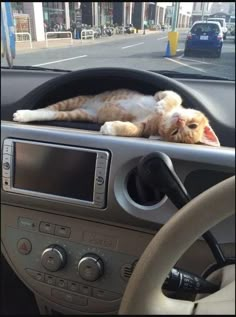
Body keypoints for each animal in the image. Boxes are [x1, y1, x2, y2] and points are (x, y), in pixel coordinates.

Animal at [12, 88, 219, 146]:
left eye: (175, 132)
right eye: (193, 125)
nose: (180, 120)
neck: (161, 118)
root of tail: (90, 105)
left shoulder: (142, 127)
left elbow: (131, 129)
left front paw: (110, 127)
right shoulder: (160, 93)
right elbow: (173, 97)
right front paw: (162, 106)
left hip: (79, 113)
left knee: (52, 112)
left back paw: (25, 115)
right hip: (76, 100)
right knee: (48, 108)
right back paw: (25, 113)